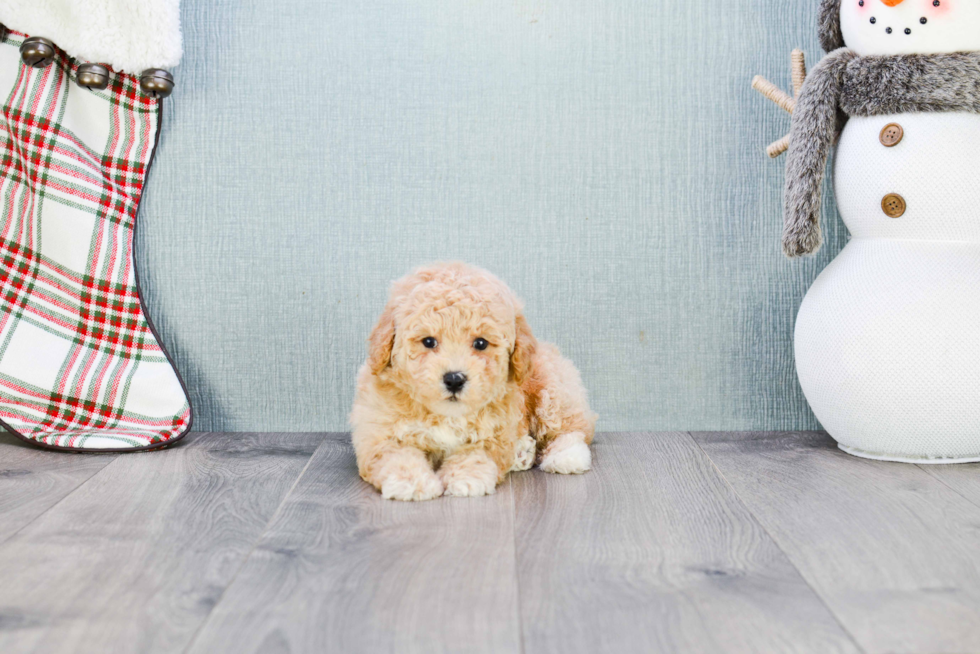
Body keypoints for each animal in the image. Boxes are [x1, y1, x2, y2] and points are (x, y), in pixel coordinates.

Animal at [352, 262, 596, 502]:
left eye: (481, 343)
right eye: (428, 341)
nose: (454, 379)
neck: (447, 415)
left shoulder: (493, 435)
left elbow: (474, 454)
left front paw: (467, 479)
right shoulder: (378, 434)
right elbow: (396, 455)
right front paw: (411, 482)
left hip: (553, 388)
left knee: (572, 428)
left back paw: (566, 456)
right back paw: (522, 453)